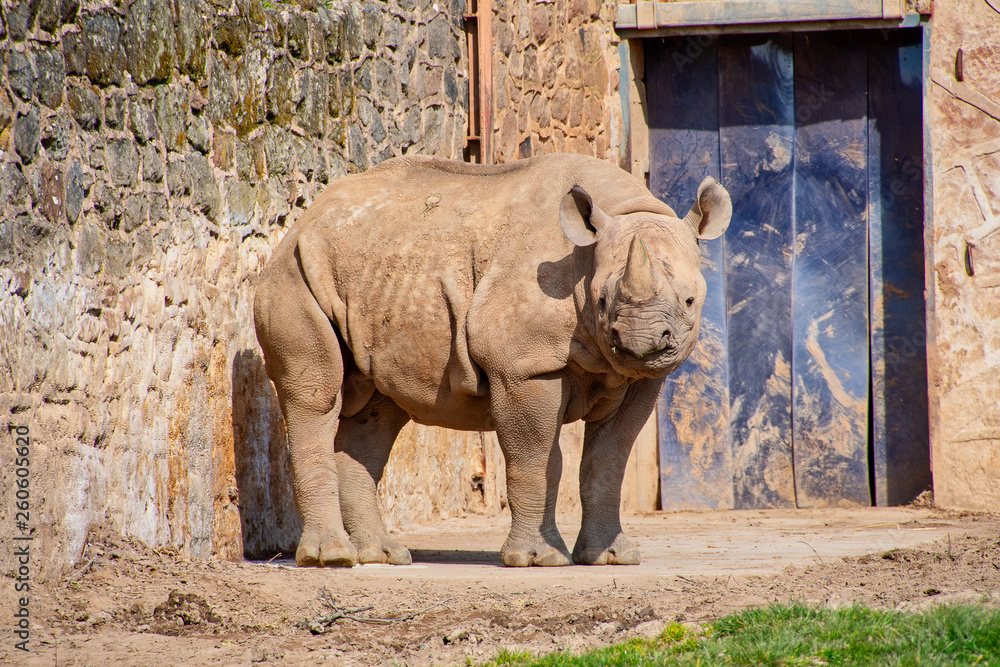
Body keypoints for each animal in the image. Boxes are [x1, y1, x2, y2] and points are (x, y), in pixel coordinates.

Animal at [254, 153, 731, 567]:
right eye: (600, 301)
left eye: (690, 301)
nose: (640, 345)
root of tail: (303, 219)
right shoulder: (524, 365)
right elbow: (537, 460)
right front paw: (538, 560)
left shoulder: (640, 381)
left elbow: (608, 460)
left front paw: (611, 557)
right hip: (294, 272)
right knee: (316, 395)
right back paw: (331, 558)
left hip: (372, 273)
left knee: (376, 412)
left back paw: (383, 556)